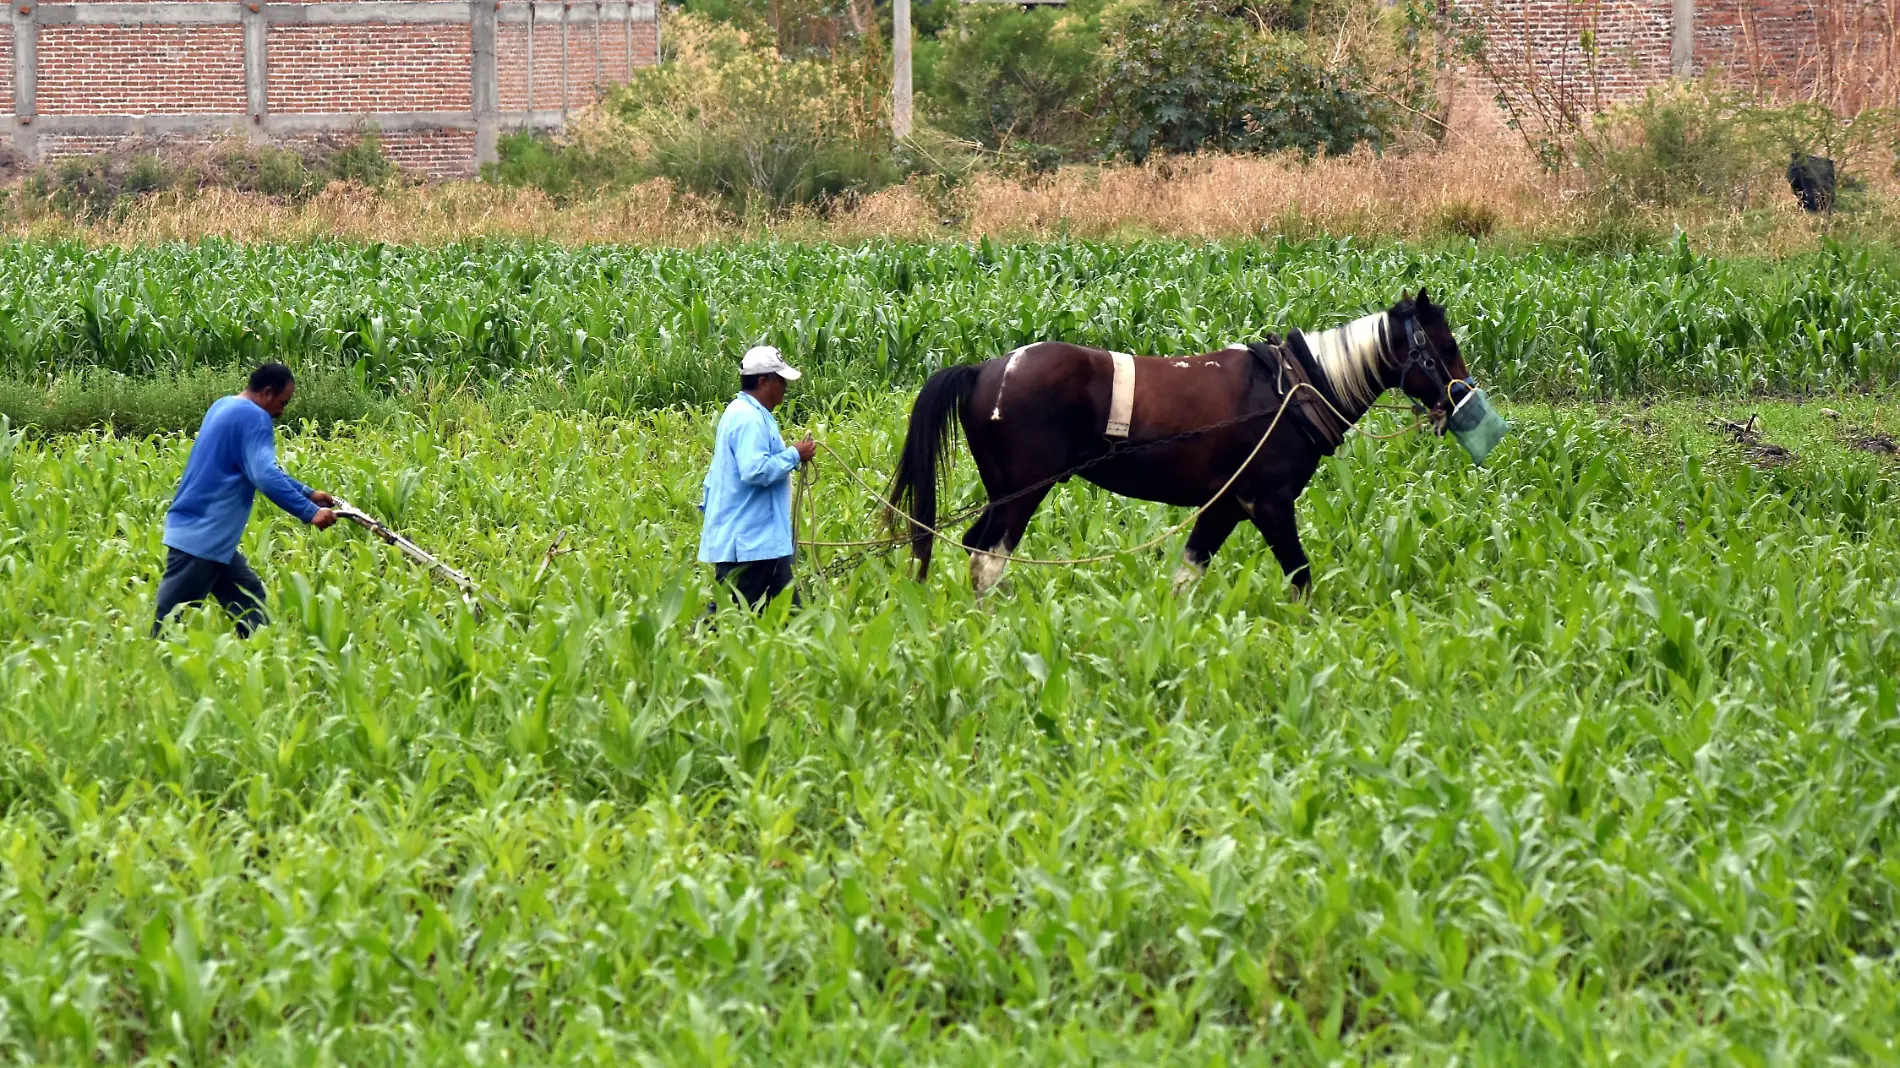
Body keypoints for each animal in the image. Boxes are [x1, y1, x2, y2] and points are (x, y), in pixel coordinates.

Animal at [881, 286, 1474, 592]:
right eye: (1444, 345)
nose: (1463, 396)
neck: (1292, 390)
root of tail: (983, 369)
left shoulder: (1226, 505)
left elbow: (1188, 575)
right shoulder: (1268, 501)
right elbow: (1301, 574)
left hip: (1004, 491)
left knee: (974, 547)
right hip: (1022, 493)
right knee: (990, 558)